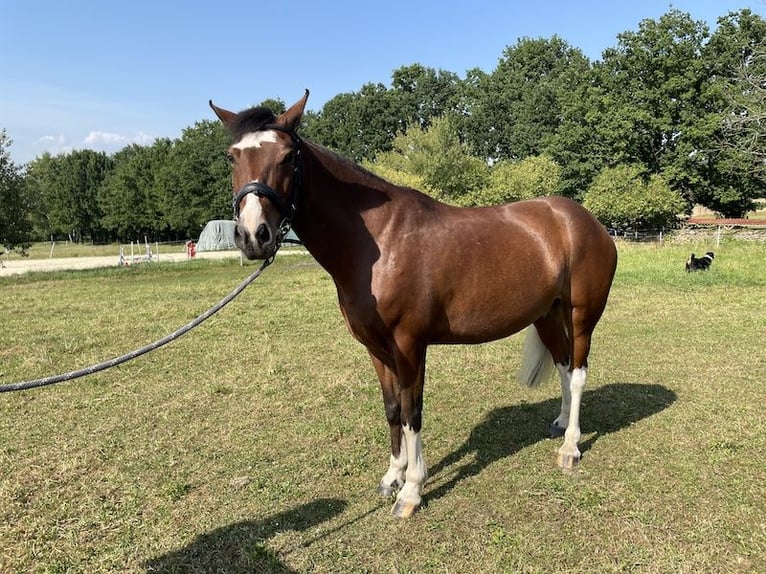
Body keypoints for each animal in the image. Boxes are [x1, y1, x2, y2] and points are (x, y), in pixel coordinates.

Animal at [210, 91, 618, 518]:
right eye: (232, 156)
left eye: (289, 156)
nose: (254, 236)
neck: (379, 241)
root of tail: (587, 221)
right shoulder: (377, 348)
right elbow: (392, 409)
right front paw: (393, 476)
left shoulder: (409, 345)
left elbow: (412, 412)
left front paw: (411, 490)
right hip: (547, 316)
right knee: (564, 366)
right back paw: (560, 424)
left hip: (581, 316)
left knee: (578, 373)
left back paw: (570, 448)